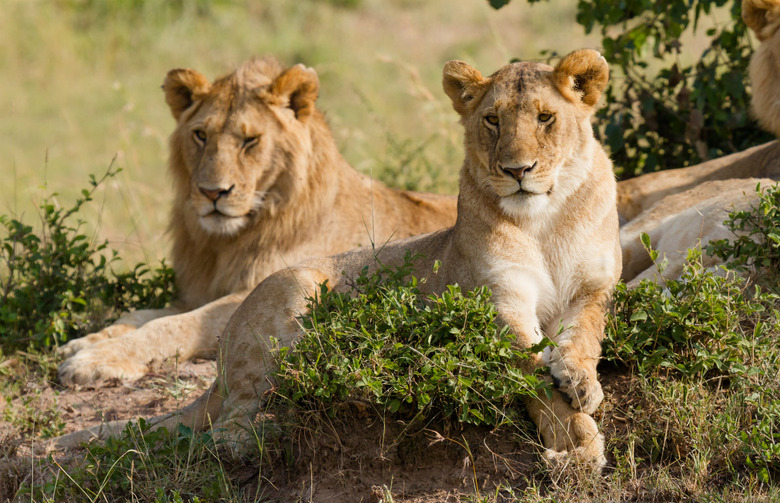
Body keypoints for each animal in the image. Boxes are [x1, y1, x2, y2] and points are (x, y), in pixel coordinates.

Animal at [57, 57, 457, 386]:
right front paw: (82, 343)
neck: (226, 243)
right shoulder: (199, 291)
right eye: (200, 135)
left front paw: (93, 360)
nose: (212, 192)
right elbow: (141, 313)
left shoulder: (262, 293)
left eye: (250, 140)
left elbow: (173, 326)